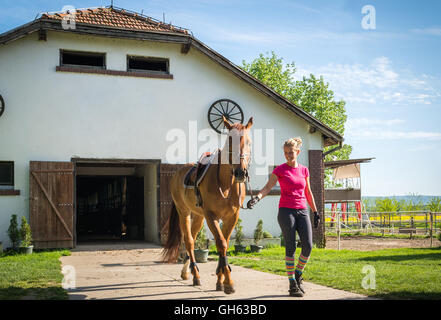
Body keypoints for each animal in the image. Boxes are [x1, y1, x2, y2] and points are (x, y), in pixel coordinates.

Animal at [162, 116, 253, 294]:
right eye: (229, 141)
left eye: (248, 142)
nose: (241, 173)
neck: (226, 184)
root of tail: (178, 173)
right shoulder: (212, 216)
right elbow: (221, 243)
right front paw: (228, 283)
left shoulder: (232, 217)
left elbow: (224, 243)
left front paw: (220, 280)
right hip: (184, 212)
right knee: (189, 241)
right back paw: (195, 275)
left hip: (198, 216)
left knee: (193, 237)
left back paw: (187, 272)